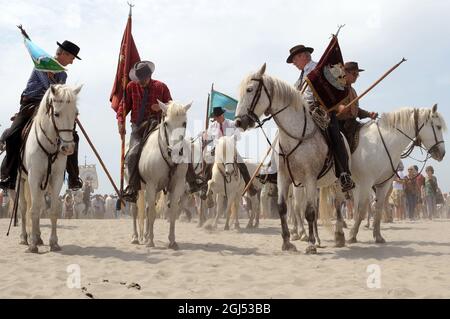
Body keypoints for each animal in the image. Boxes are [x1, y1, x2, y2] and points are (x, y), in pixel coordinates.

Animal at [17, 84, 81, 254]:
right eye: (57, 114)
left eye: (75, 114)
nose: (67, 148)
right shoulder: (34, 177)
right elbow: (32, 210)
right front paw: (32, 245)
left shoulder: (56, 178)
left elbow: (52, 211)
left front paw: (54, 243)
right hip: (21, 181)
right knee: (24, 208)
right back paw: (25, 238)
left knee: (38, 207)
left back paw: (38, 237)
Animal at [139, 100, 192, 250]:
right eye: (166, 123)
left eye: (184, 123)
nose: (176, 151)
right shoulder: (151, 184)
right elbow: (152, 212)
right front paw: (151, 241)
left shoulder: (178, 185)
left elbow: (173, 211)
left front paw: (172, 241)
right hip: (142, 188)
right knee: (141, 209)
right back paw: (138, 237)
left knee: (147, 207)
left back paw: (146, 236)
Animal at [236, 64, 348, 255]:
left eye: (250, 89)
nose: (238, 122)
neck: (295, 135)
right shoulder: (284, 177)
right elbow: (283, 207)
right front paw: (287, 242)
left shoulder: (309, 177)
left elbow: (309, 211)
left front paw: (310, 244)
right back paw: (319, 238)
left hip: (336, 181)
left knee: (338, 203)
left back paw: (338, 236)